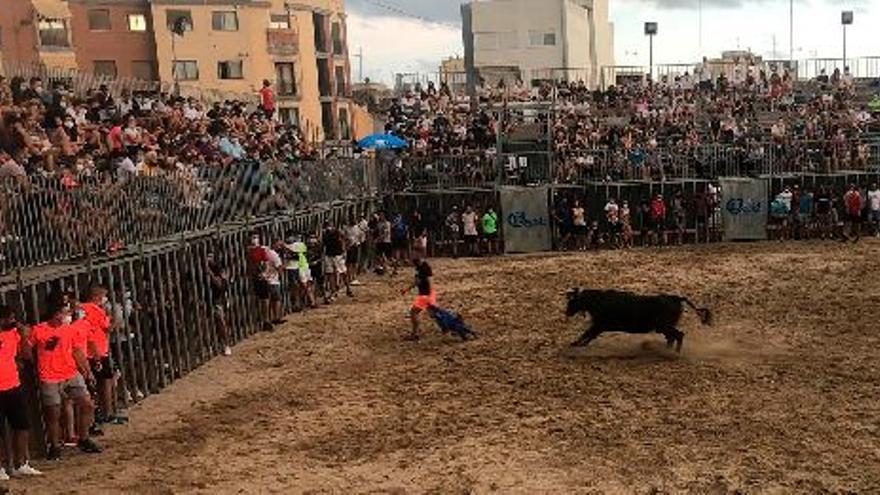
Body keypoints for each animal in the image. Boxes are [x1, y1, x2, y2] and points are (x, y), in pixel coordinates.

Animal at [564, 288, 716, 350]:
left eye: (572, 301)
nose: (567, 312)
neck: (599, 300)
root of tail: (676, 298)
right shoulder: (599, 326)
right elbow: (589, 335)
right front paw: (579, 344)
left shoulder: (599, 325)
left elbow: (587, 334)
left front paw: (575, 343)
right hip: (662, 327)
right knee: (672, 337)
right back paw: (666, 350)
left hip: (663, 326)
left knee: (679, 335)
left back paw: (674, 353)